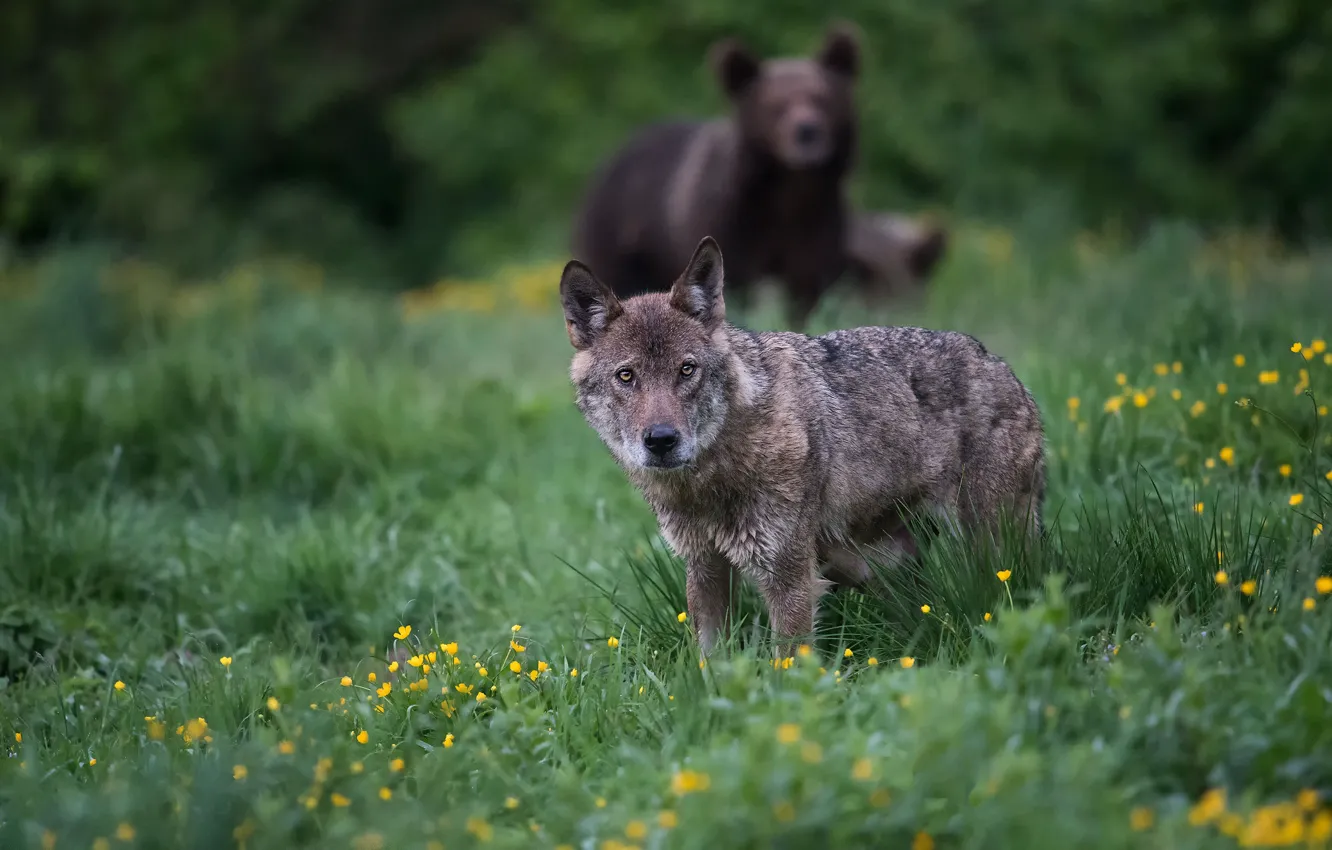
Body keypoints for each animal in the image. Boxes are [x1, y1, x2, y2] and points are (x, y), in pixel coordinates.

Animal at [556, 237, 1044, 655]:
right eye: (626, 376)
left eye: (686, 370)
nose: (661, 440)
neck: (713, 479)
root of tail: (1005, 369)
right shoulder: (705, 568)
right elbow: (710, 663)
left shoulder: (788, 575)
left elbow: (785, 667)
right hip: (877, 562)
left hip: (987, 547)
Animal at [570, 22, 863, 330]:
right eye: (775, 105)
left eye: (823, 98)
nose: (806, 132)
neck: (787, 191)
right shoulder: (731, 222)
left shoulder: (818, 223)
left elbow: (809, 285)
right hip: (620, 233)